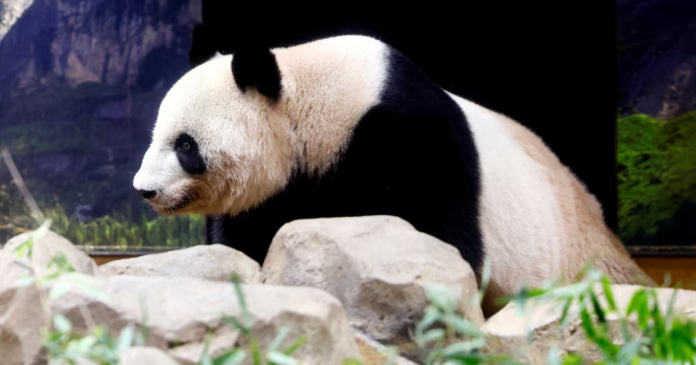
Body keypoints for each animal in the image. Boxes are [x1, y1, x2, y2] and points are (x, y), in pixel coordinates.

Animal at [132, 34, 656, 312]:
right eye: (156, 136)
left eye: (185, 145)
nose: (144, 190)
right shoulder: (279, 187)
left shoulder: (410, 137)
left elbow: (441, 237)